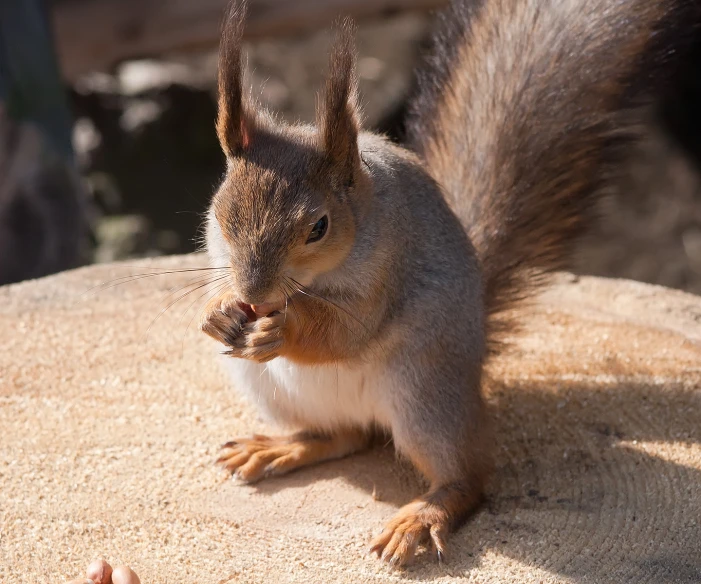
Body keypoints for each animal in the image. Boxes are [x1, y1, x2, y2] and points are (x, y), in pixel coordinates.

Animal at [198, 0, 700, 568]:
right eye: (221, 211)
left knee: (468, 477)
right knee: (343, 437)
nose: (255, 295)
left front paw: (283, 329)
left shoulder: (386, 274)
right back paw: (282, 445)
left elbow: (342, 332)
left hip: (425, 397)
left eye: (319, 227)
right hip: (274, 391)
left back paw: (422, 516)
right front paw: (219, 311)